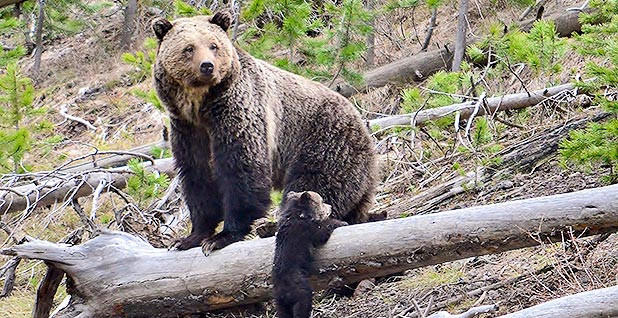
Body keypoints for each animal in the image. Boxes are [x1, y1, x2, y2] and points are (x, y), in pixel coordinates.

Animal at [152, 9, 378, 255]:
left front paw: (223, 236)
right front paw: (190, 237)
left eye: (213, 45)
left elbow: (241, 169)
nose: (207, 66)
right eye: (189, 48)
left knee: (314, 185)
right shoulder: (187, 129)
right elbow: (197, 176)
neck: (201, 106)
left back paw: (273, 225)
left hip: (325, 141)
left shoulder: (238, 112)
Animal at [272, 190, 344, 318]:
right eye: (322, 201)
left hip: (280, 302)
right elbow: (322, 232)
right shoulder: (306, 229)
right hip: (300, 289)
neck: (299, 214)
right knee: (302, 305)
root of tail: (284, 292)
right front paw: (341, 222)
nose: (330, 207)